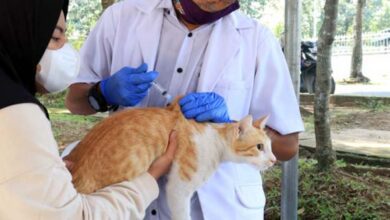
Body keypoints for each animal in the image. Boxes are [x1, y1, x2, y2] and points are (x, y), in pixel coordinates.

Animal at [65, 98, 276, 220]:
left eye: (271, 146)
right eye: (259, 147)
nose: (274, 160)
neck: (216, 141)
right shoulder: (179, 187)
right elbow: (182, 214)